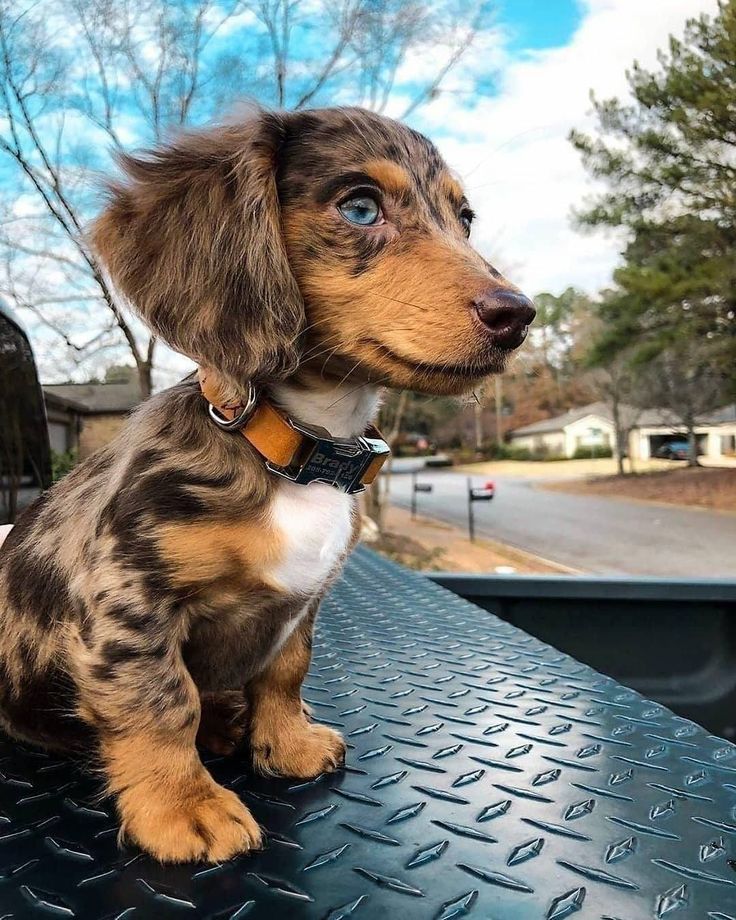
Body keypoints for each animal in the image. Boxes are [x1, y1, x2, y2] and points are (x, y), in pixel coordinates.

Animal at [0, 106, 532, 864]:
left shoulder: (303, 604)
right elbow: (164, 701)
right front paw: (182, 805)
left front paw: (284, 742)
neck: (296, 449)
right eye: (360, 207)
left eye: (464, 219)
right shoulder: (128, 596)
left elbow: (285, 672)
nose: (519, 315)